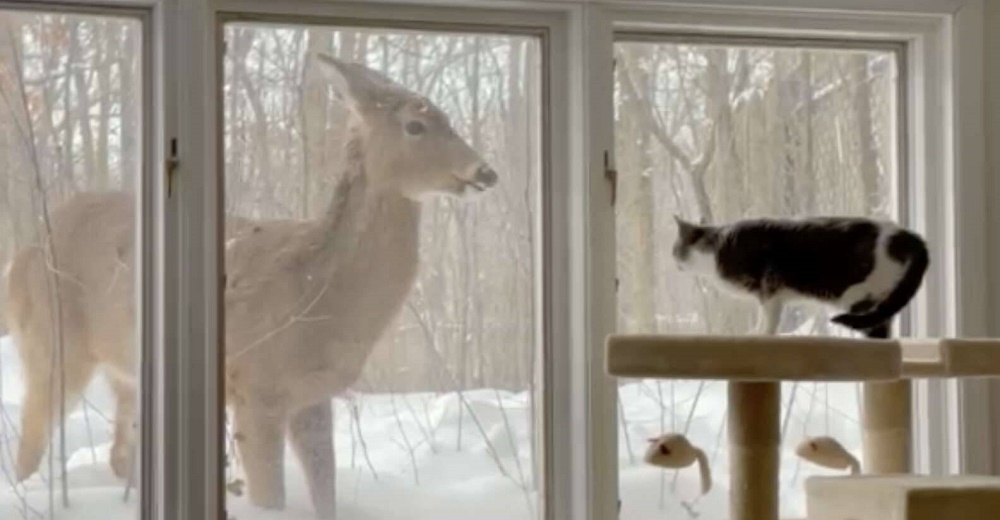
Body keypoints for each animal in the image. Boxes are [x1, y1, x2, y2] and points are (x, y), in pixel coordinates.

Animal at [0, 54, 500, 516]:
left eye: (448, 118)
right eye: (415, 125)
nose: (485, 173)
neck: (321, 294)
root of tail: (22, 254)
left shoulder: (313, 397)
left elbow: (325, 498)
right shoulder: (258, 387)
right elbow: (270, 499)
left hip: (123, 370)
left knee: (118, 455)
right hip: (53, 342)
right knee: (30, 445)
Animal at [668, 214, 932, 340]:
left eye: (674, 249)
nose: (672, 260)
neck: (716, 249)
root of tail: (911, 237)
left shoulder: (770, 284)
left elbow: (770, 317)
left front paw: (763, 335)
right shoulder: (764, 293)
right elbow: (762, 314)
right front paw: (756, 330)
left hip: (859, 291)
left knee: (873, 318)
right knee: (881, 322)